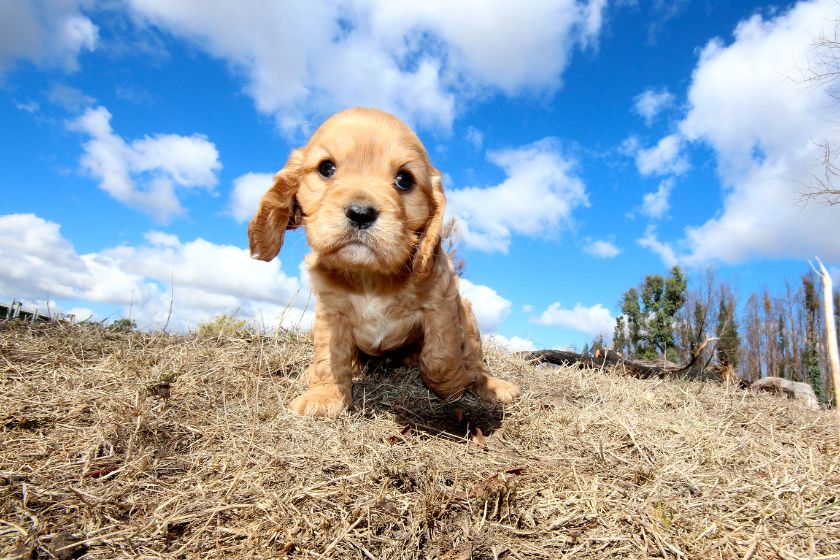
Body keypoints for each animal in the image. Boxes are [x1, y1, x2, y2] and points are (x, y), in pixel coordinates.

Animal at [248, 108, 520, 416]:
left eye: (404, 179)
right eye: (326, 168)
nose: (360, 213)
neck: (370, 276)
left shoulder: (442, 301)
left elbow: (440, 357)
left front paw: (456, 383)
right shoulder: (330, 310)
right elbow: (330, 355)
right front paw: (325, 397)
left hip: (469, 315)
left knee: (474, 356)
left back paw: (489, 383)